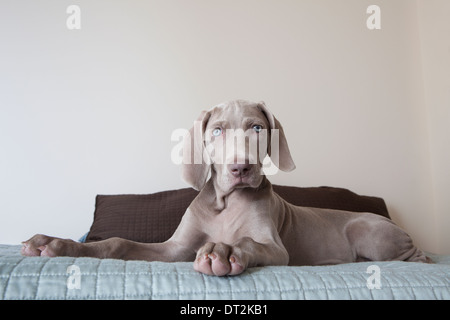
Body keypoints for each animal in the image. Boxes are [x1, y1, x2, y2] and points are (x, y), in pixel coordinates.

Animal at [22, 99, 428, 276]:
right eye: (216, 131)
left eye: (257, 128)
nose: (240, 167)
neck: (224, 203)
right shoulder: (173, 250)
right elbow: (118, 243)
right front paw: (55, 244)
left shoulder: (275, 248)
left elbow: (249, 242)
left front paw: (226, 250)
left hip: (367, 230)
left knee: (408, 256)